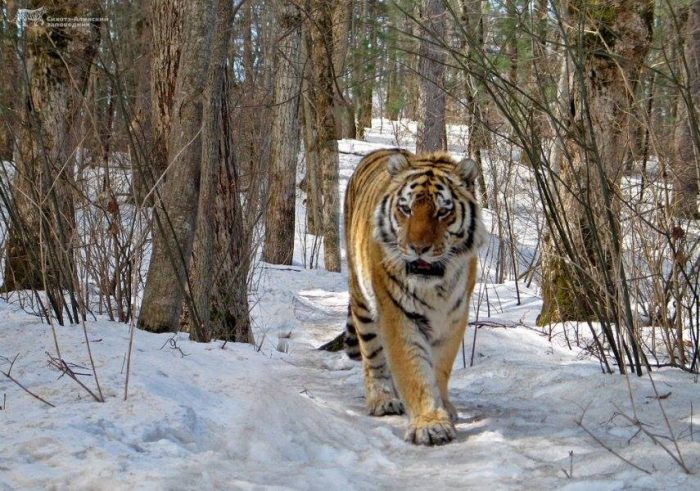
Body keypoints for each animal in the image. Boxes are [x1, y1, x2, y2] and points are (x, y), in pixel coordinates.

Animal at [343, 148, 486, 446]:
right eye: (406, 209)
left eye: (443, 211)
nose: (419, 248)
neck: (436, 288)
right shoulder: (398, 314)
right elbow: (414, 370)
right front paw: (430, 424)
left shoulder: (454, 318)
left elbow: (439, 368)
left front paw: (444, 408)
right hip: (361, 300)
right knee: (373, 356)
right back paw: (382, 400)